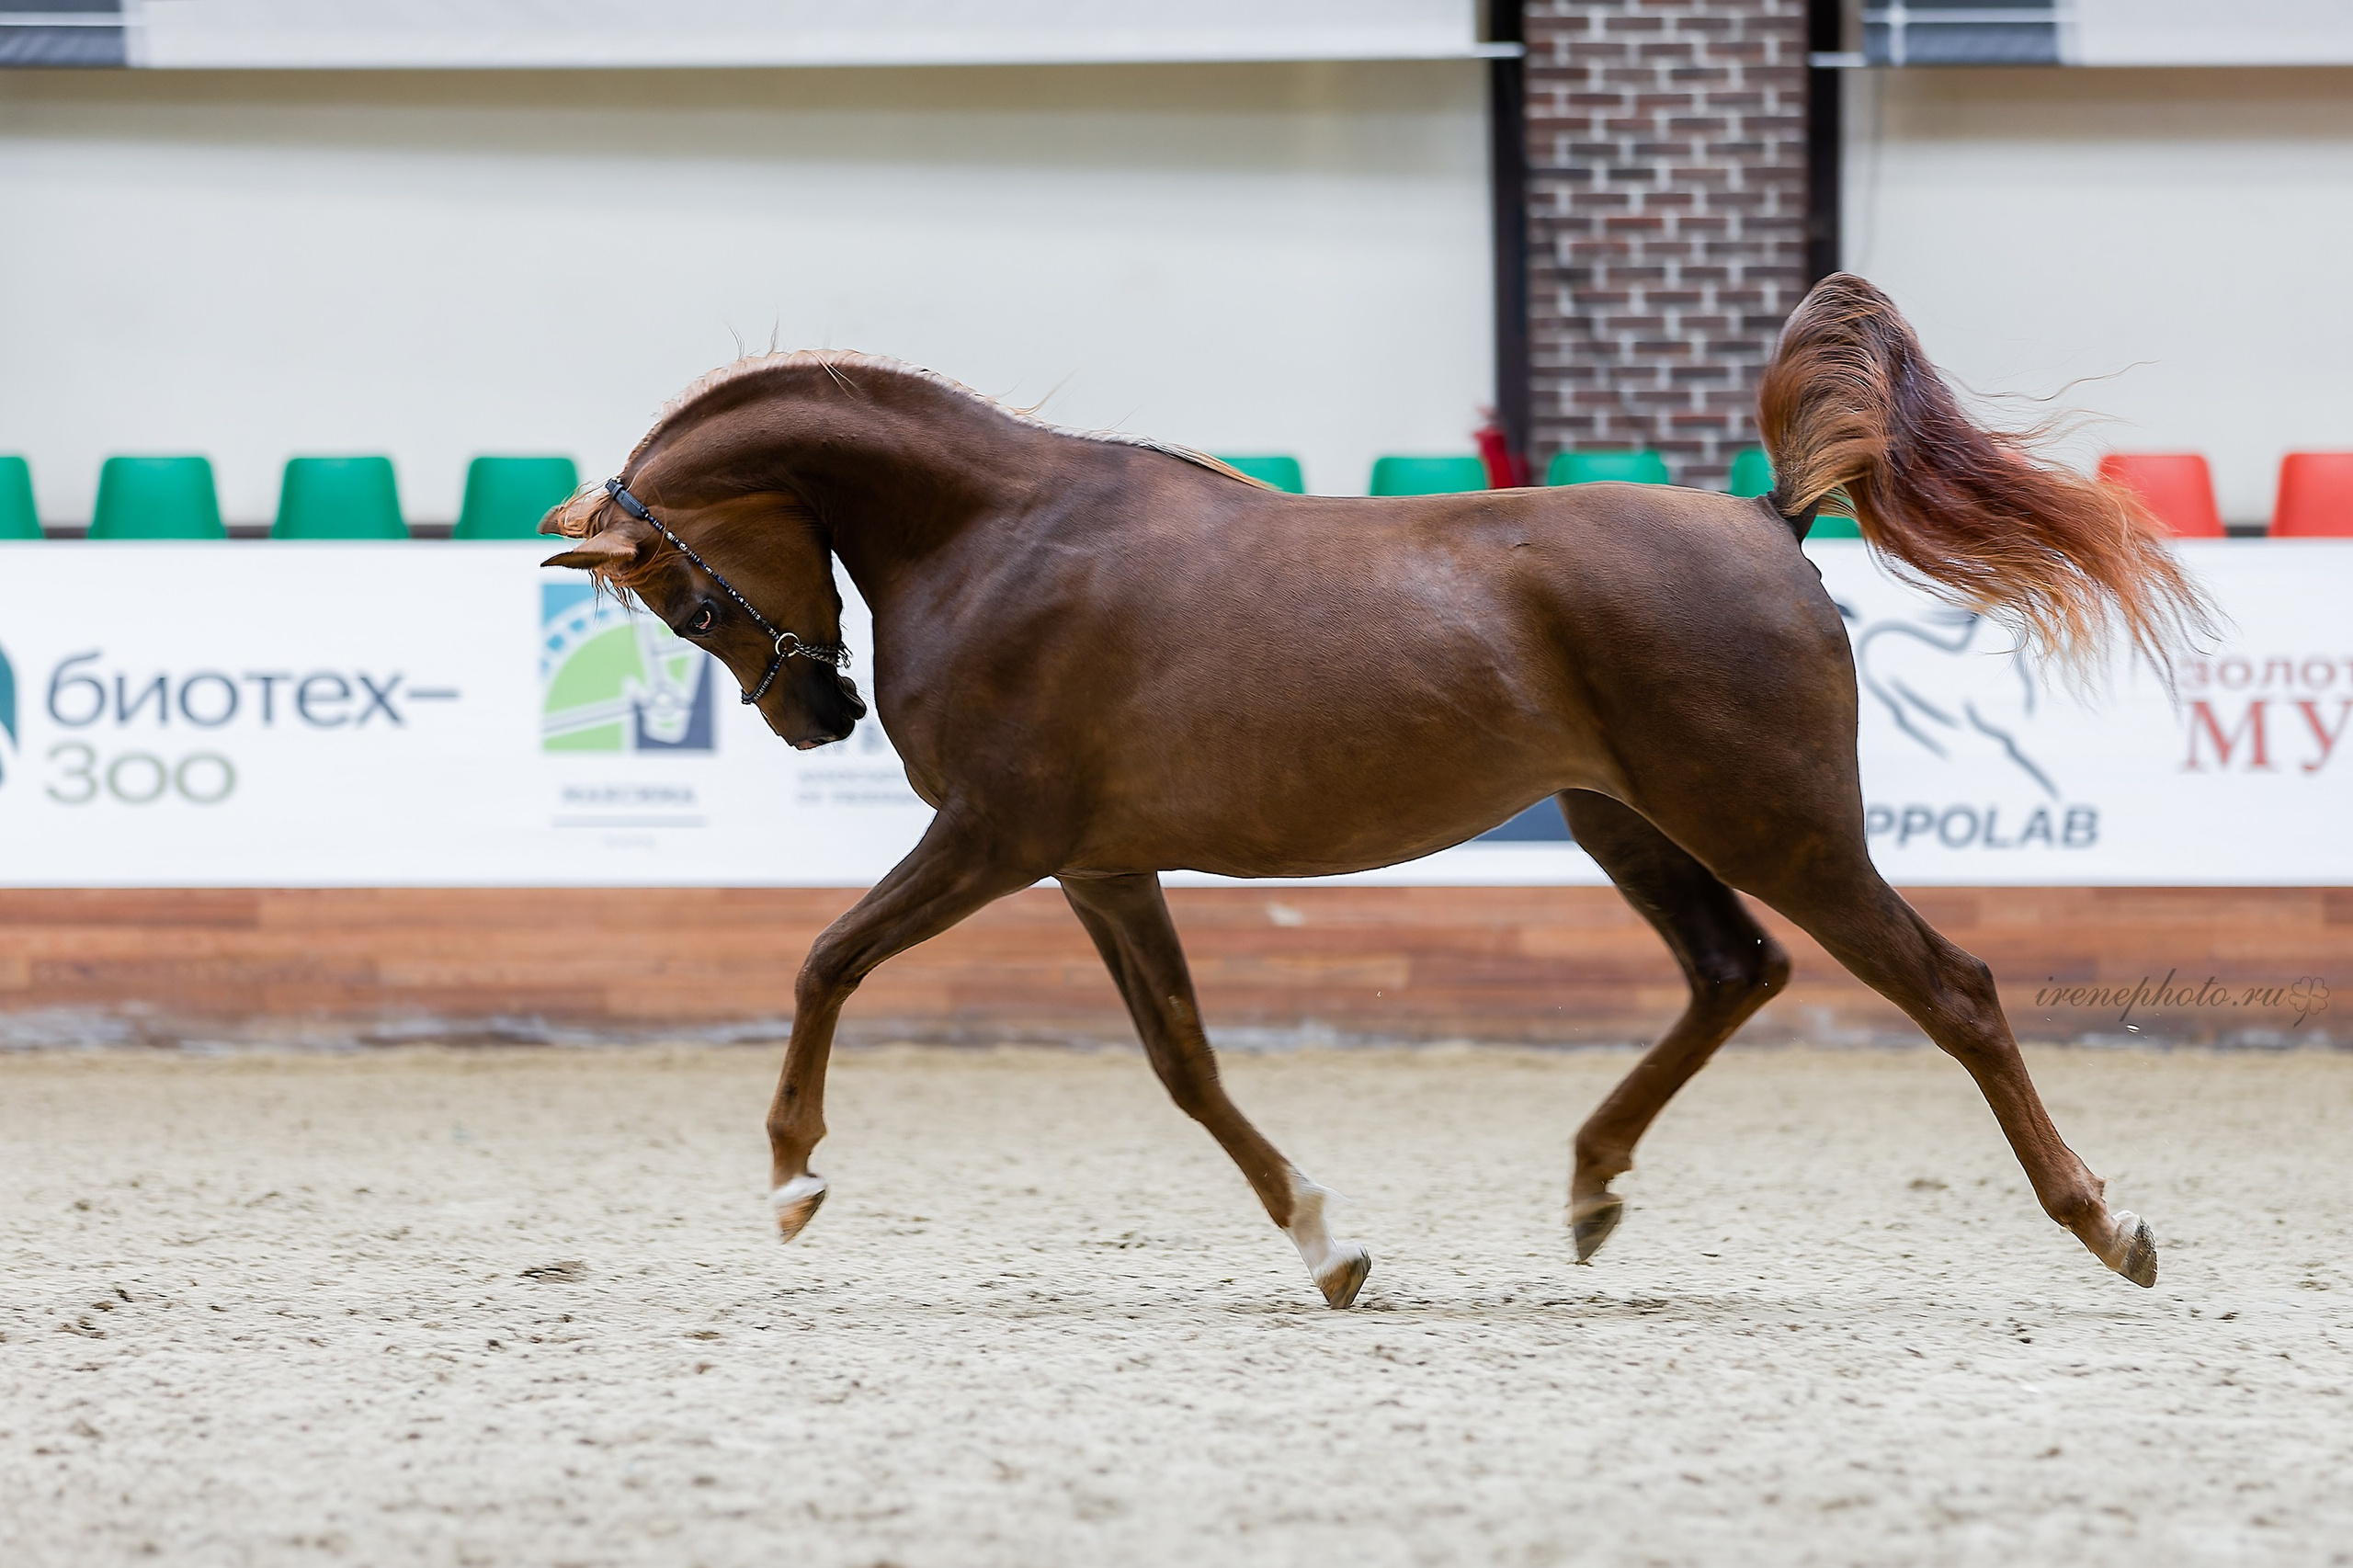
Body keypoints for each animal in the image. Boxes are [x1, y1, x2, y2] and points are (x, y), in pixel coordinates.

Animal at [541, 274, 2206, 1309]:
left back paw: (2107, 1221)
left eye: (682, 598)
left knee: (1952, 986)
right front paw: (1327, 1247)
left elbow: (825, 958)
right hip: (1627, 819)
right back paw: (1590, 1189)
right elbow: (1186, 1065)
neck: (995, 536)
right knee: (1736, 967)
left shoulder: (993, 839)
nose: (815, 716)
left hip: (1775, 823)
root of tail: (1765, 518)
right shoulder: (1097, 864)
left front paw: (791, 1175)